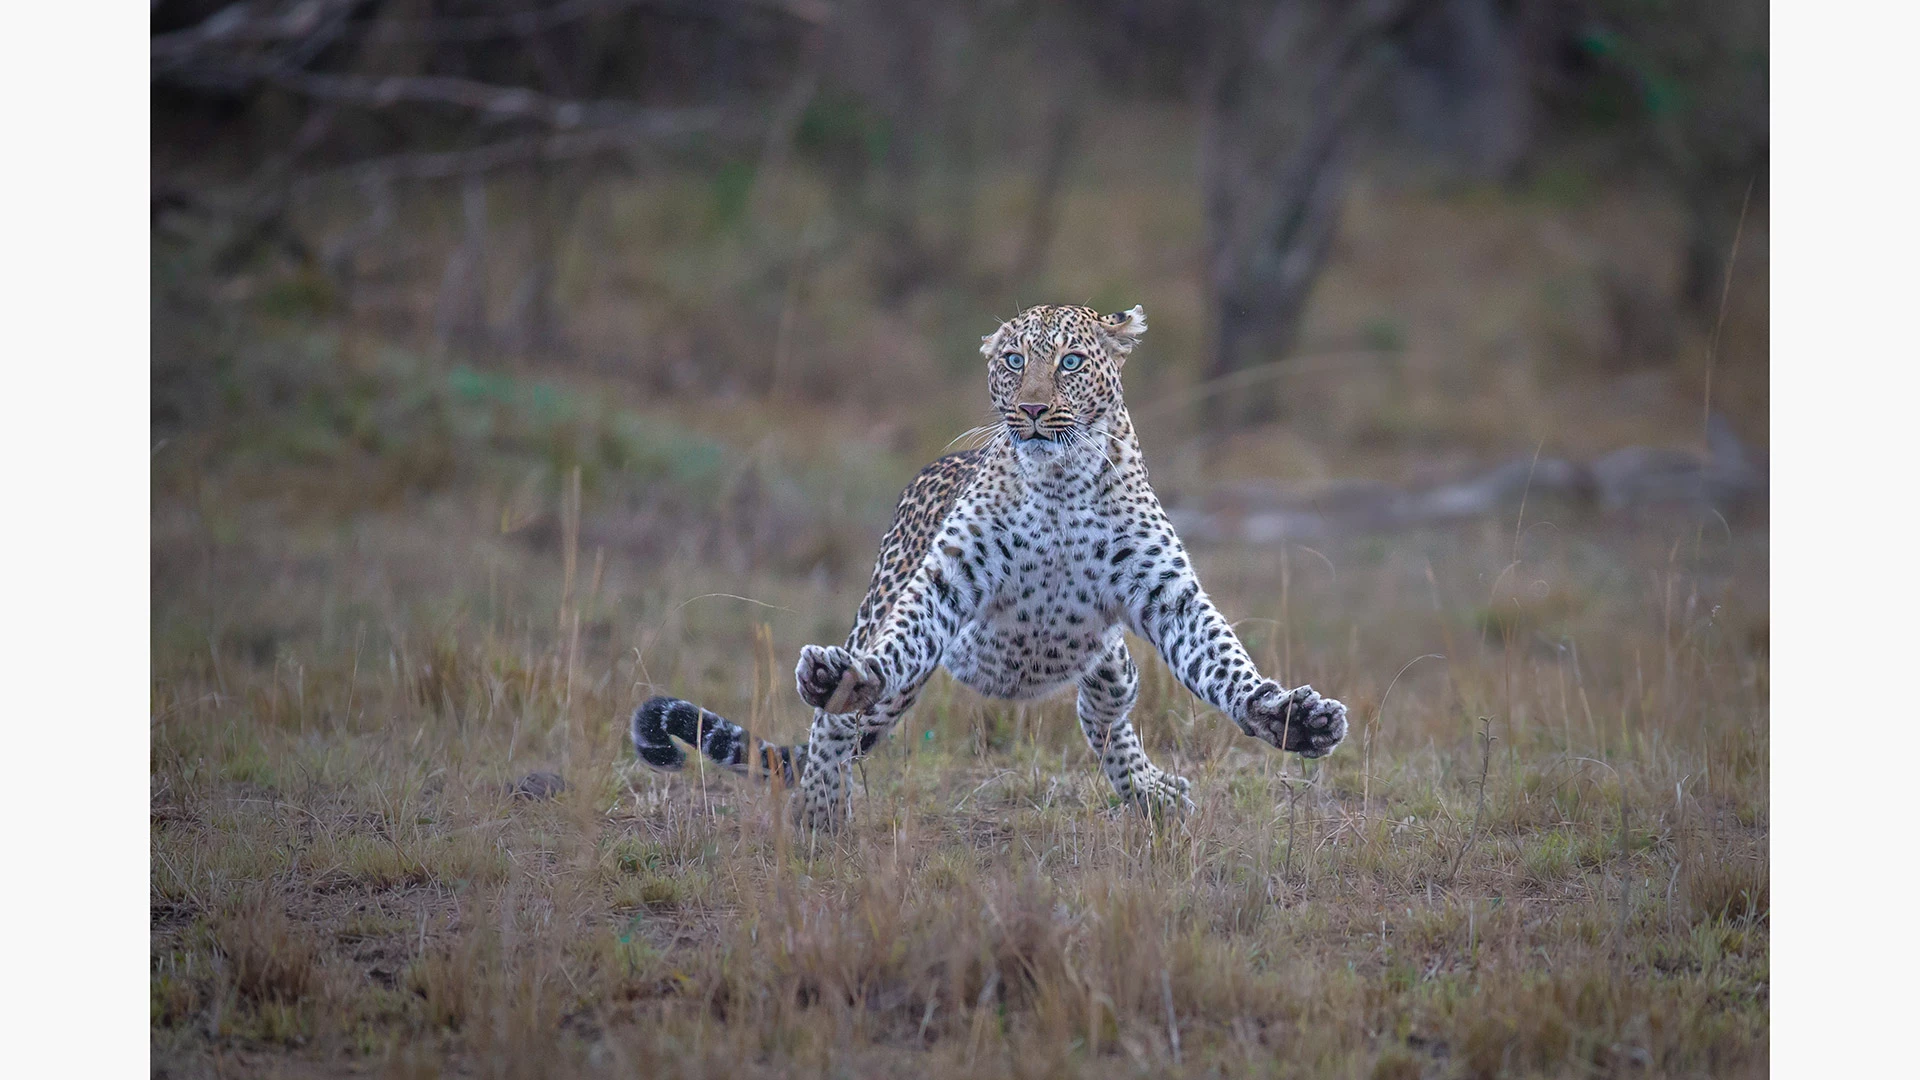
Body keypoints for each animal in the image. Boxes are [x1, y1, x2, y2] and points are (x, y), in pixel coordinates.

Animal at [633, 297, 1351, 826]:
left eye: (1069, 362)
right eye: (1012, 360)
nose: (1031, 408)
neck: (1061, 483)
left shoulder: (1167, 594)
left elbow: (1223, 661)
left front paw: (1291, 718)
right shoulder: (946, 580)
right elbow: (893, 647)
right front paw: (846, 684)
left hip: (1113, 665)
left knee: (1102, 718)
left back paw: (1150, 793)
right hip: (886, 637)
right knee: (835, 725)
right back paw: (819, 804)